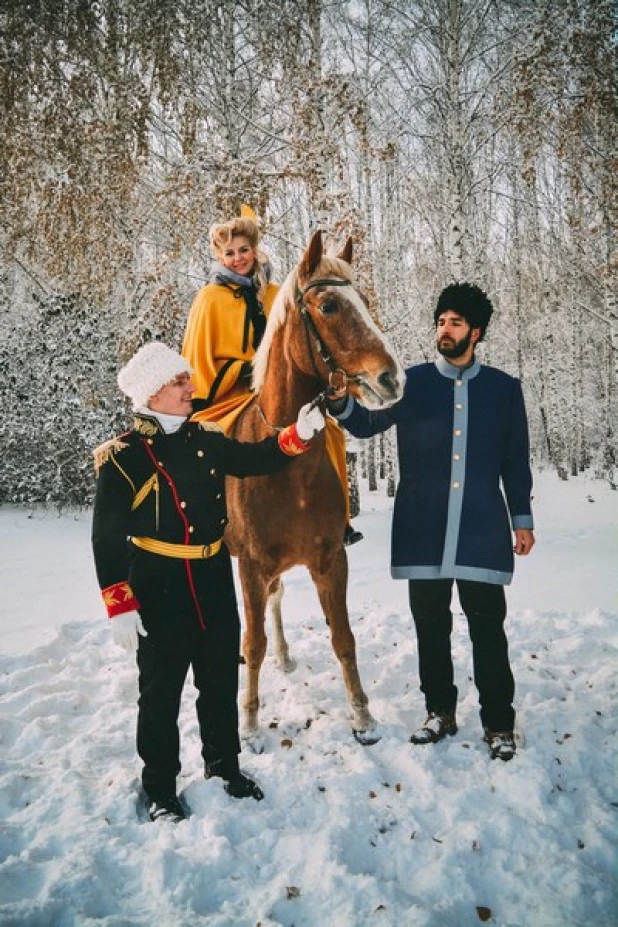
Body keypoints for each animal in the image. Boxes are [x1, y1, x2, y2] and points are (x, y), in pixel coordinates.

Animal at [224, 234, 402, 748]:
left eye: (364, 302)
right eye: (329, 305)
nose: (392, 379)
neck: (287, 462)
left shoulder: (330, 560)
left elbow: (343, 638)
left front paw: (362, 716)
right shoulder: (250, 565)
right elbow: (252, 643)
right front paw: (249, 725)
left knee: (278, 597)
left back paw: (285, 656)